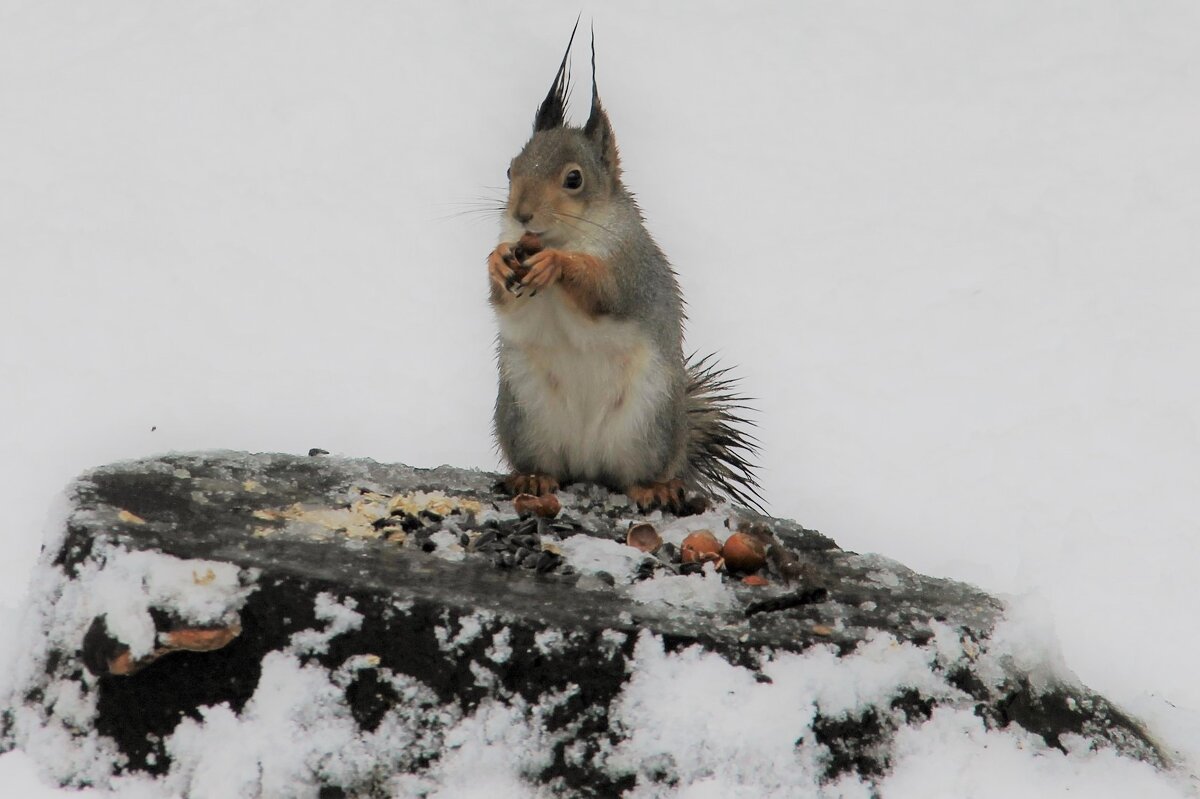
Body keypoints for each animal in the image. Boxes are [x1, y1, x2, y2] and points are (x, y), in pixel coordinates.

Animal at [484, 24, 758, 513]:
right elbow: (506, 304)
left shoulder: (631, 268)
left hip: (648, 421)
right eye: (510, 169)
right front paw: (497, 261)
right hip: (524, 415)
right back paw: (533, 478)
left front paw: (557, 264)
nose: (521, 214)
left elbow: (606, 291)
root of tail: (587, 464)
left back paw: (654, 487)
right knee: (547, 466)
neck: (566, 237)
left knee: (635, 475)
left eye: (574, 179)